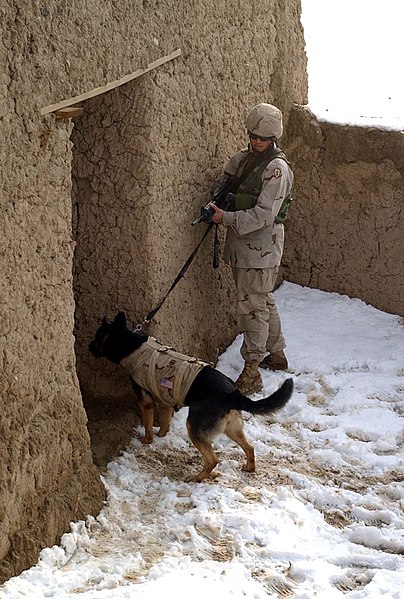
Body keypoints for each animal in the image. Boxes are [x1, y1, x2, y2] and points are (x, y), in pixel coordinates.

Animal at [89, 312, 294, 486]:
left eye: (97, 337)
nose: (88, 347)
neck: (131, 345)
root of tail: (231, 394)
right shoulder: (165, 401)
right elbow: (165, 422)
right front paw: (162, 435)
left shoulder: (145, 400)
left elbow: (147, 424)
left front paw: (147, 440)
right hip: (232, 429)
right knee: (250, 447)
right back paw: (249, 467)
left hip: (195, 428)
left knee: (213, 460)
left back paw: (197, 477)